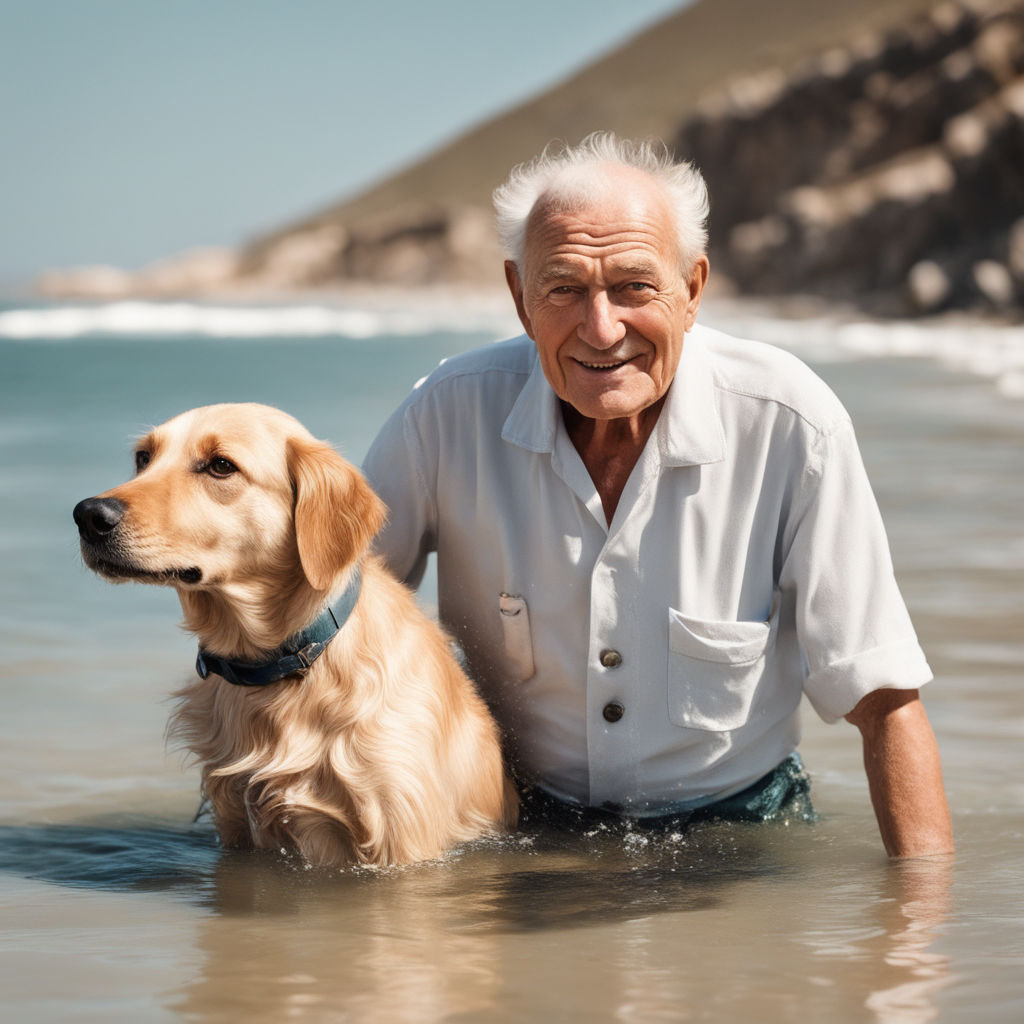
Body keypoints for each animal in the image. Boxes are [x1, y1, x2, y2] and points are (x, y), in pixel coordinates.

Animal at [72, 403, 516, 868]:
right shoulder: (236, 821)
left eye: (220, 465)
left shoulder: (402, 835)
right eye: (144, 457)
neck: (284, 665)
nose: (89, 515)